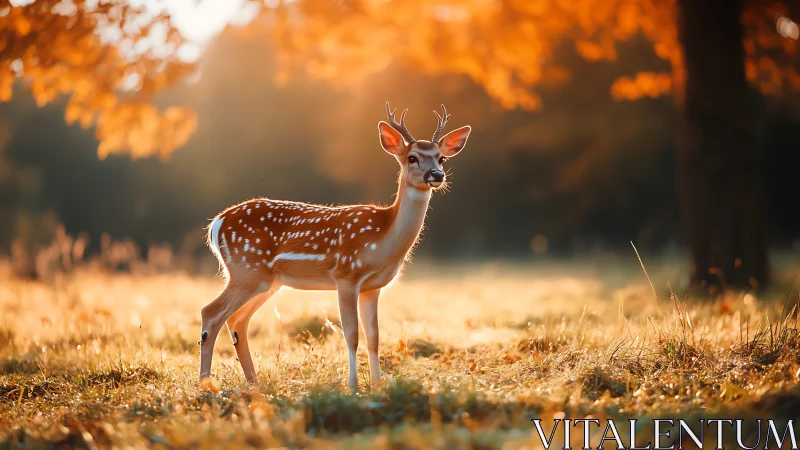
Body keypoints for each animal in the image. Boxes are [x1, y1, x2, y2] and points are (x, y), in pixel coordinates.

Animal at [200, 102, 471, 392]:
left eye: (441, 158)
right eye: (412, 157)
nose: (437, 175)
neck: (382, 240)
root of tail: (216, 224)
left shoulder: (373, 287)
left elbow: (374, 337)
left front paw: (376, 386)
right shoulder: (346, 276)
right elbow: (351, 335)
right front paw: (353, 386)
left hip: (267, 281)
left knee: (237, 320)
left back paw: (255, 384)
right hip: (246, 270)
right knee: (211, 313)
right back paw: (206, 385)